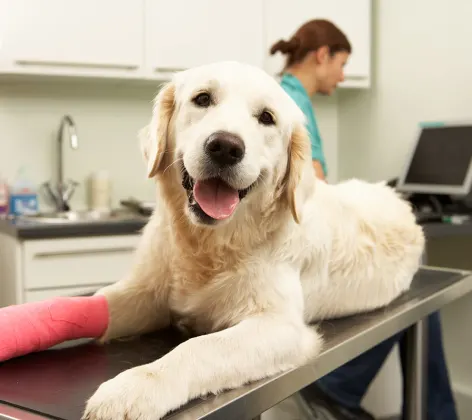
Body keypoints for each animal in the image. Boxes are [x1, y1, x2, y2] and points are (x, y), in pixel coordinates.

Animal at [83, 60, 426, 418]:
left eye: (266, 117)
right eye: (202, 99)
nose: (225, 147)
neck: (210, 243)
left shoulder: (281, 326)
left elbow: (199, 347)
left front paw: (131, 389)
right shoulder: (146, 293)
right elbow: (101, 303)